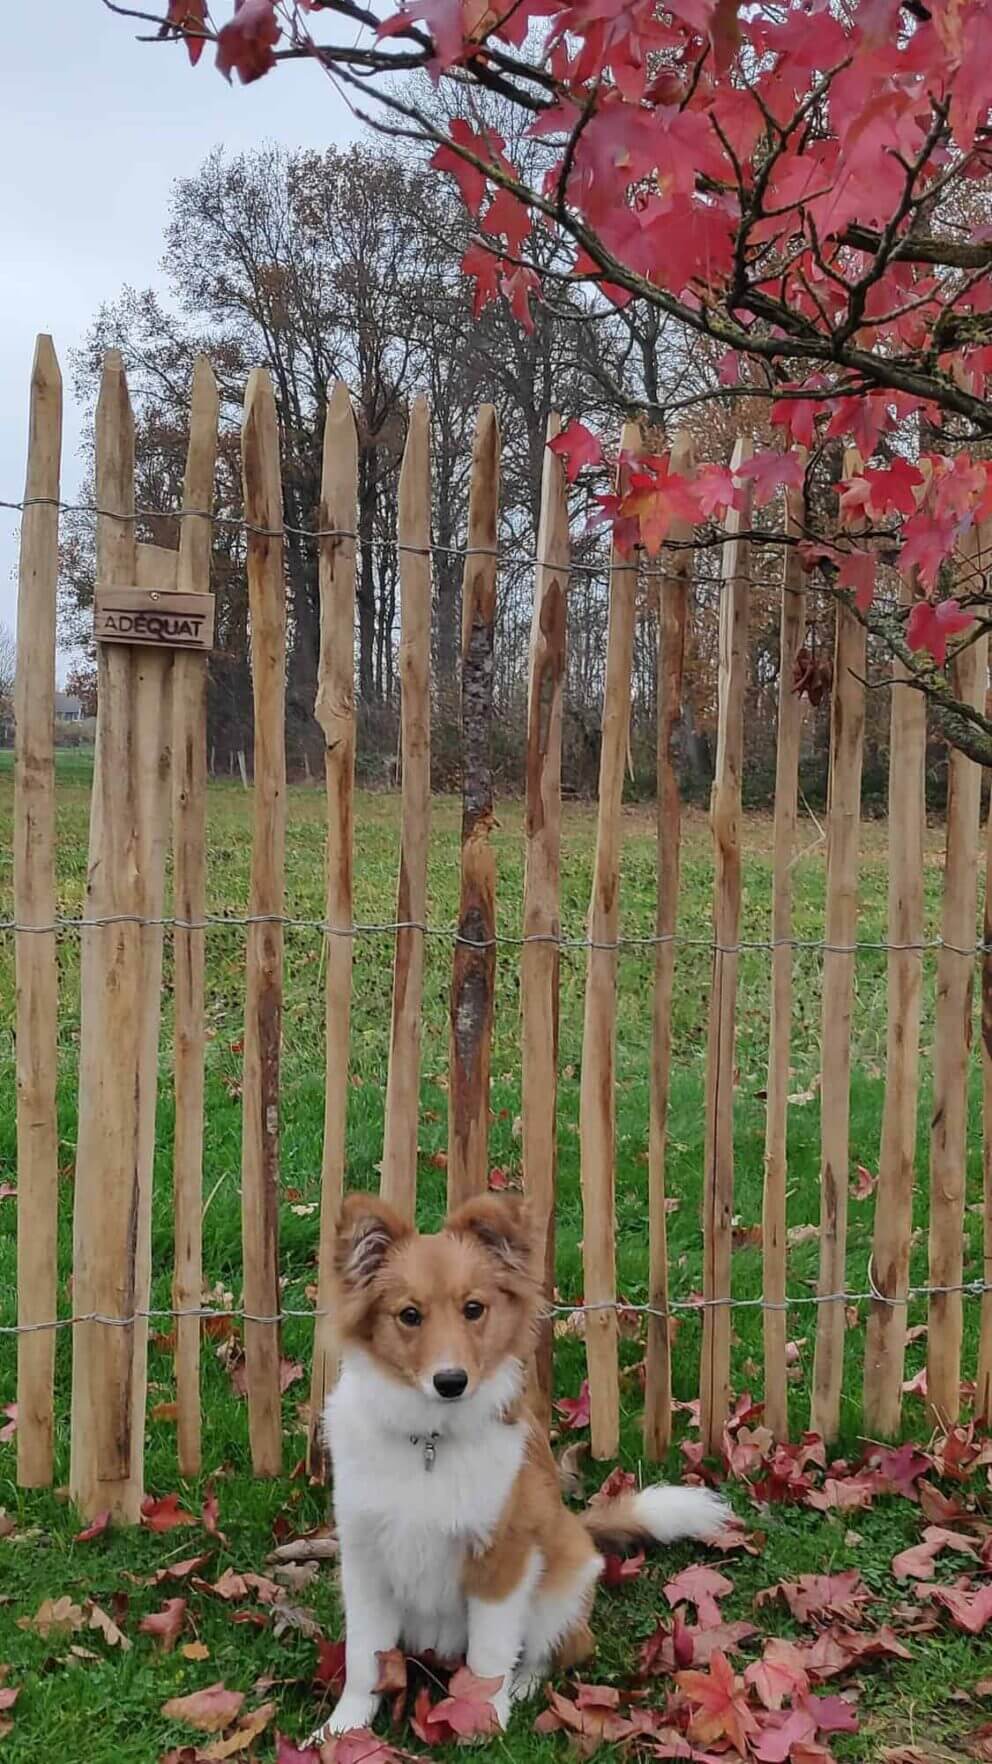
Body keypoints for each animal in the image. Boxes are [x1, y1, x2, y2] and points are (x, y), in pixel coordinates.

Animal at [310, 1192, 734, 1742]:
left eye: (473, 1309)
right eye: (409, 1315)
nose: (451, 1381)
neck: (430, 1443)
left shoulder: (503, 1559)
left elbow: (489, 1656)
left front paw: (484, 1719)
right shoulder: (365, 1563)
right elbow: (365, 1657)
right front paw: (344, 1729)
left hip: (558, 1589)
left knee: (552, 1650)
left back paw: (523, 1686)